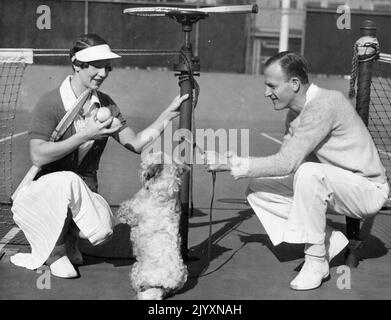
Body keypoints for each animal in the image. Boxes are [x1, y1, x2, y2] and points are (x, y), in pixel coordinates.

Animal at [116, 152, 190, 300]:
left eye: (144, 163)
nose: (141, 169)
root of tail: (165, 286)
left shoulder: (132, 212)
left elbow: (124, 210)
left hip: (137, 270)